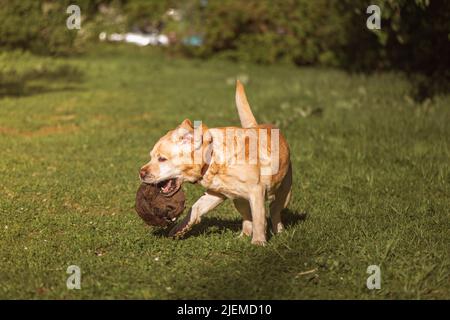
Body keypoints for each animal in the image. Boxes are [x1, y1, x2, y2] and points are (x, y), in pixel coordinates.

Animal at [142, 80, 296, 245]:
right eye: (151, 156)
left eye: (162, 159)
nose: (141, 173)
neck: (214, 158)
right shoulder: (215, 193)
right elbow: (195, 208)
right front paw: (179, 229)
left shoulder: (257, 191)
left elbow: (259, 219)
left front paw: (258, 242)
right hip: (239, 200)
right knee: (247, 218)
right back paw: (243, 236)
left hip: (284, 192)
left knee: (274, 210)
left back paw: (279, 231)